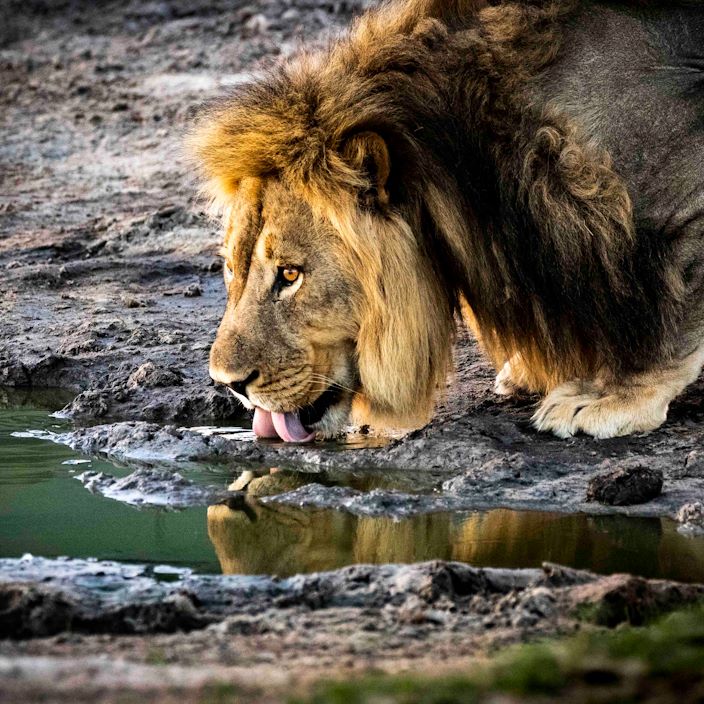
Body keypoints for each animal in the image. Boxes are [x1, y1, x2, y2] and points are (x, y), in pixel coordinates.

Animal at [190, 0, 704, 440]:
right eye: (231, 270)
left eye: (291, 275)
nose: (228, 382)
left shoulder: (673, 199)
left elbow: (672, 309)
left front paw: (613, 393)